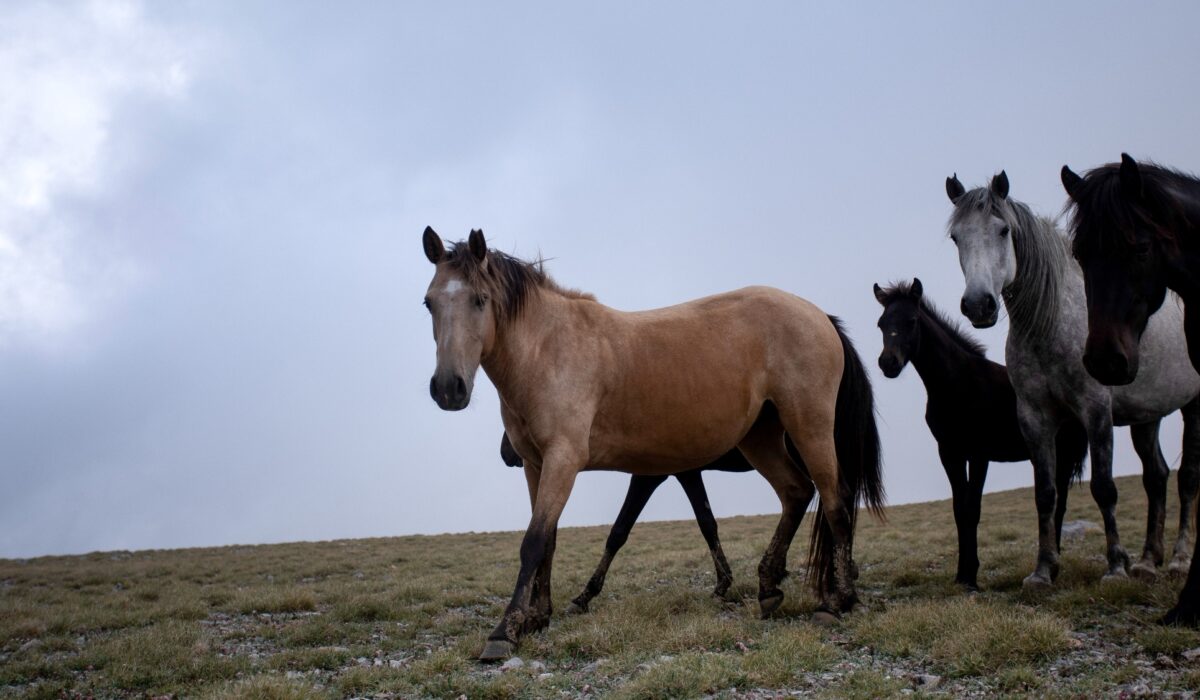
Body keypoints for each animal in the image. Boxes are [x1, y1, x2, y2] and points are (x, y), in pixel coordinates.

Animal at [499, 432, 748, 614]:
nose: (505, 453)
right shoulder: (687, 472)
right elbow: (707, 523)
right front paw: (723, 583)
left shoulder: (650, 475)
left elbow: (619, 531)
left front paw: (585, 596)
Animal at [873, 279, 1089, 590]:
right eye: (881, 323)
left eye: (911, 320)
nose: (888, 363)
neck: (956, 383)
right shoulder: (950, 452)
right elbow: (959, 509)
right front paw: (962, 575)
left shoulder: (978, 454)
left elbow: (972, 508)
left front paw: (971, 577)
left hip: (1065, 455)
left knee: (1059, 505)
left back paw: (1052, 567)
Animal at [1060, 153, 1200, 624]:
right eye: (1080, 253)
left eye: (1140, 248)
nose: (1105, 360)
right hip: (1147, 417)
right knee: (1156, 475)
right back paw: (1147, 559)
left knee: (1186, 475)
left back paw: (1176, 558)